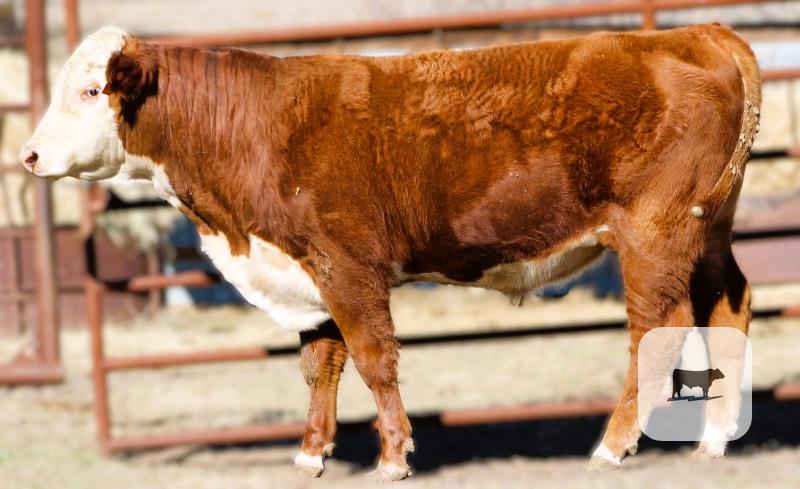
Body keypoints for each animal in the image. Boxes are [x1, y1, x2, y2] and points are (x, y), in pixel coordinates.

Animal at [20, 24, 760, 479]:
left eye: (91, 90)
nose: (27, 155)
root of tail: (695, 33)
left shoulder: (347, 266)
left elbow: (374, 359)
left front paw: (394, 456)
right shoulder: (307, 272)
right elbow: (320, 365)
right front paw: (311, 453)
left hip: (653, 235)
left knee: (656, 332)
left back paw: (612, 445)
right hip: (707, 236)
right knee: (729, 309)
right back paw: (714, 440)